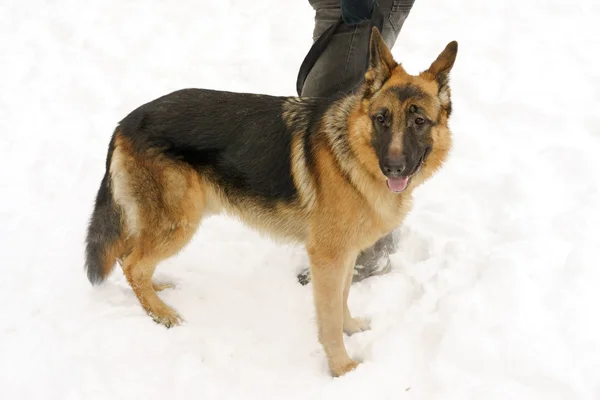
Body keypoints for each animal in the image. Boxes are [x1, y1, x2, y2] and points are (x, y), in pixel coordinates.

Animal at [84, 28, 458, 376]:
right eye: (381, 119)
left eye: (419, 121)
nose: (393, 168)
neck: (352, 155)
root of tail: (125, 122)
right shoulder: (328, 258)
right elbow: (329, 318)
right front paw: (342, 369)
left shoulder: (346, 255)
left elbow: (343, 299)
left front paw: (351, 329)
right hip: (180, 222)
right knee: (133, 263)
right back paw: (160, 313)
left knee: (130, 257)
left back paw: (156, 290)